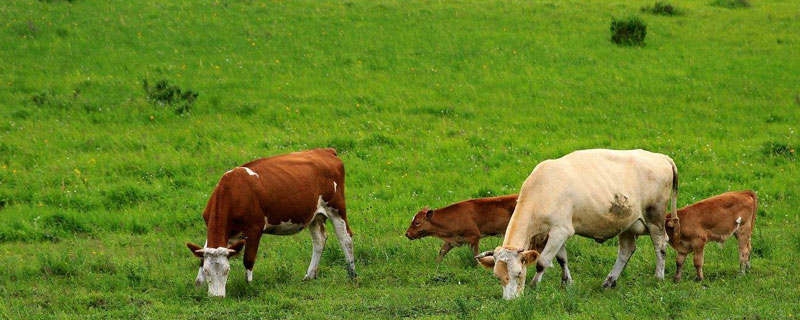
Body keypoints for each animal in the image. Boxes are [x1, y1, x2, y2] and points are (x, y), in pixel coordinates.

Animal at [186, 149, 354, 298]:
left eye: (227, 270)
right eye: (207, 271)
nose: (217, 297)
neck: (232, 191)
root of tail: (326, 151)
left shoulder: (254, 229)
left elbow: (248, 259)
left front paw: (249, 286)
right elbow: (202, 256)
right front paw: (198, 286)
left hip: (336, 208)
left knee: (345, 238)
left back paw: (352, 274)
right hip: (314, 215)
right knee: (319, 240)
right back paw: (309, 275)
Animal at [478, 150, 680, 300]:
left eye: (519, 273)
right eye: (497, 276)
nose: (509, 300)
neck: (542, 189)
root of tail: (661, 157)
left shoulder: (560, 231)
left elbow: (543, 262)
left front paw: (534, 285)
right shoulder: (555, 233)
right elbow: (562, 259)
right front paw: (567, 282)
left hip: (655, 217)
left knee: (660, 245)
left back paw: (659, 277)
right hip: (627, 223)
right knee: (626, 250)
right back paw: (609, 281)